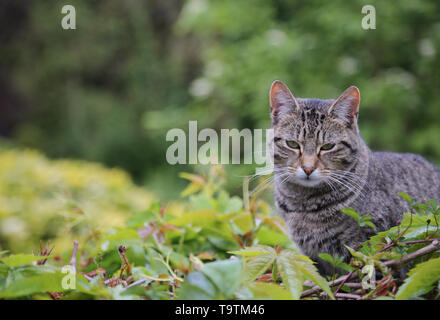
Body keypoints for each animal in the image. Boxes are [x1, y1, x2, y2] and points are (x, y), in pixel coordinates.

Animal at [268, 80, 440, 276]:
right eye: (292, 144)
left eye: (328, 146)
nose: (308, 168)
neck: (303, 205)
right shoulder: (314, 258)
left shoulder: (370, 246)